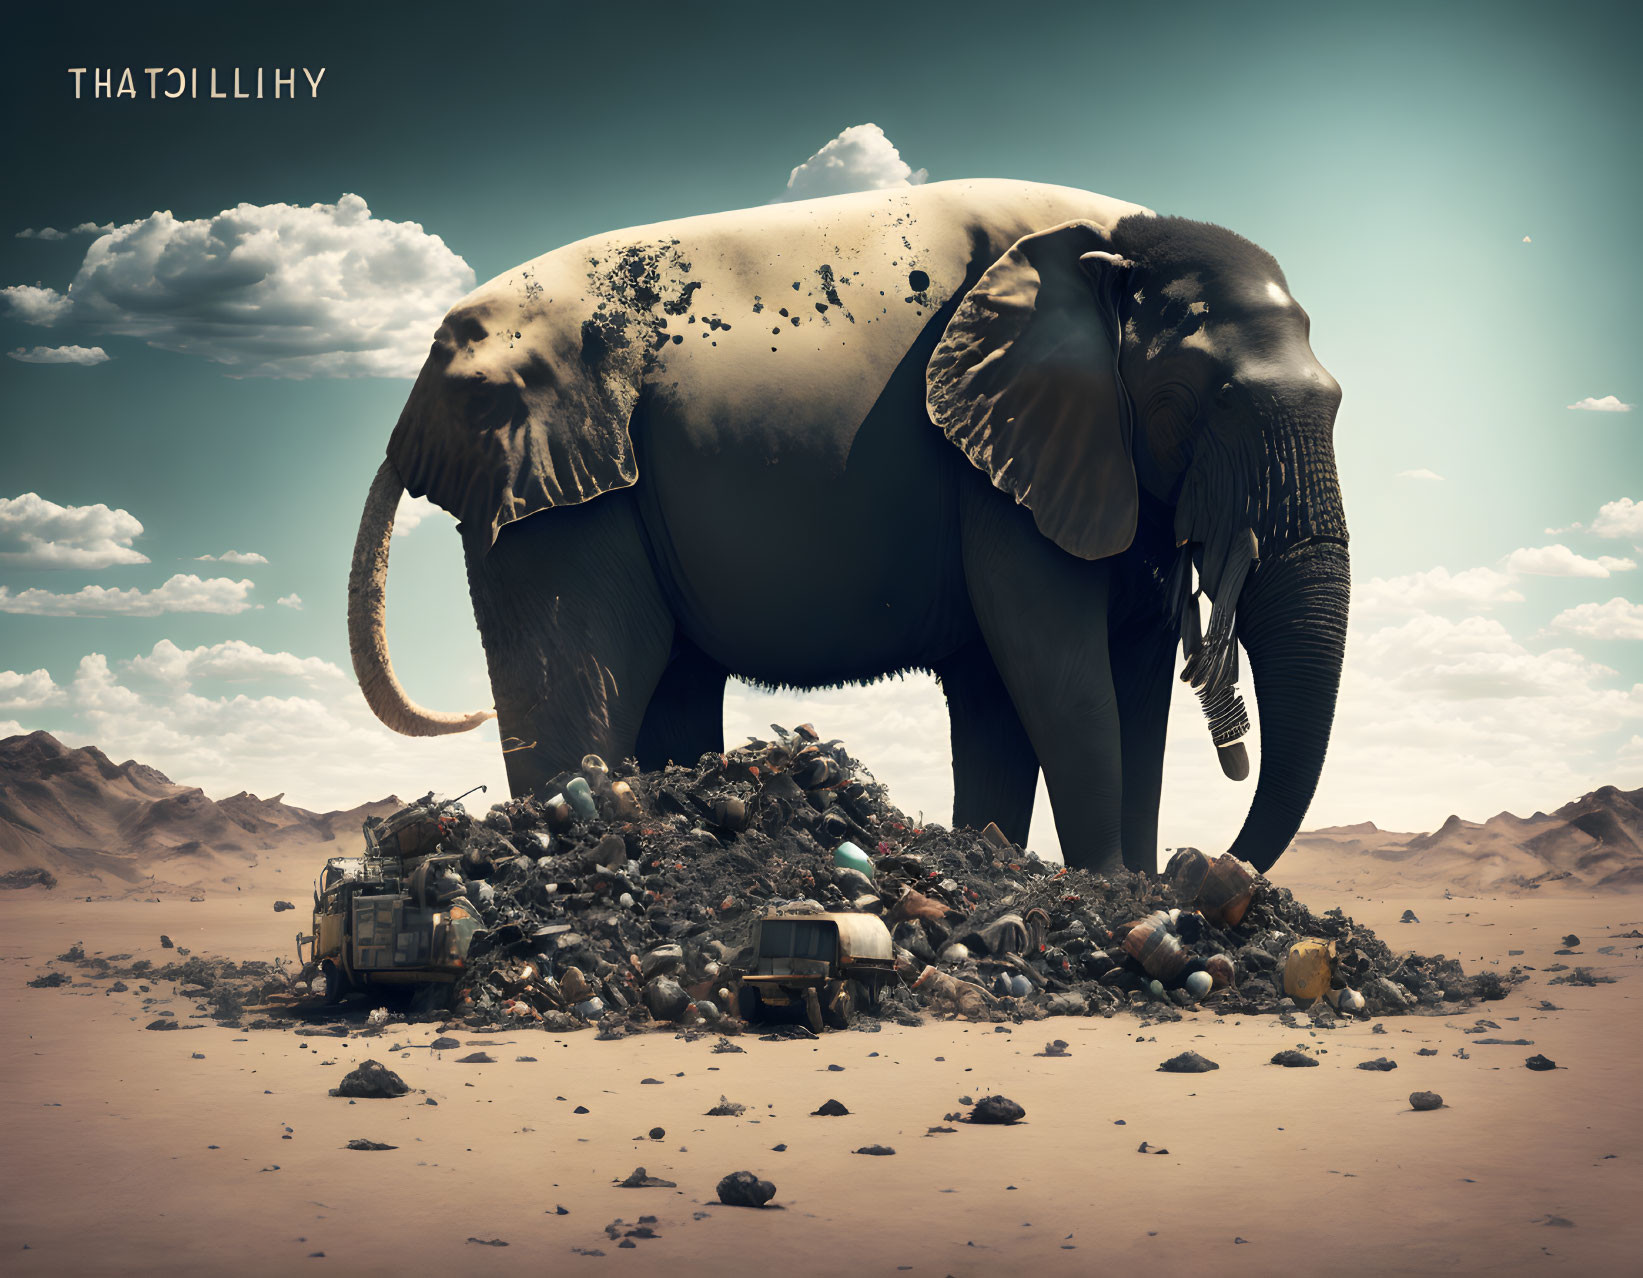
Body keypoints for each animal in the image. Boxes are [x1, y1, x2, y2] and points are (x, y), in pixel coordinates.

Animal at [346, 179, 1347, 873]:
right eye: (1211, 401)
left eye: (1337, 400)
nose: (1202, 864)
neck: (1119, 247)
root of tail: (421, 391)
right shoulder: (999, 473)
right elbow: (1058, 672)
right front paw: (1115, 890)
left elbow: (1104, 677)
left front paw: (1127, 887)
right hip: (554, 490)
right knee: (584, 685)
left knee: (672, 684)